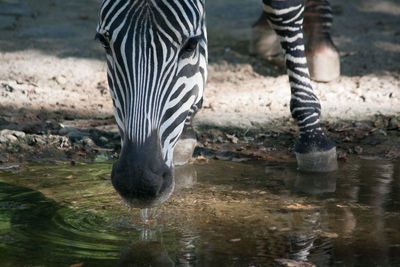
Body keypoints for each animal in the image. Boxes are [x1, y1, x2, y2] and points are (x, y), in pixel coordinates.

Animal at [96, 0, 340, 208]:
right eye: (103, 42)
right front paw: (187, 127)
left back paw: (320, 45)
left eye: (191, 45)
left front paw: (312, 137)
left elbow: (283, 12)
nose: (138, 181)